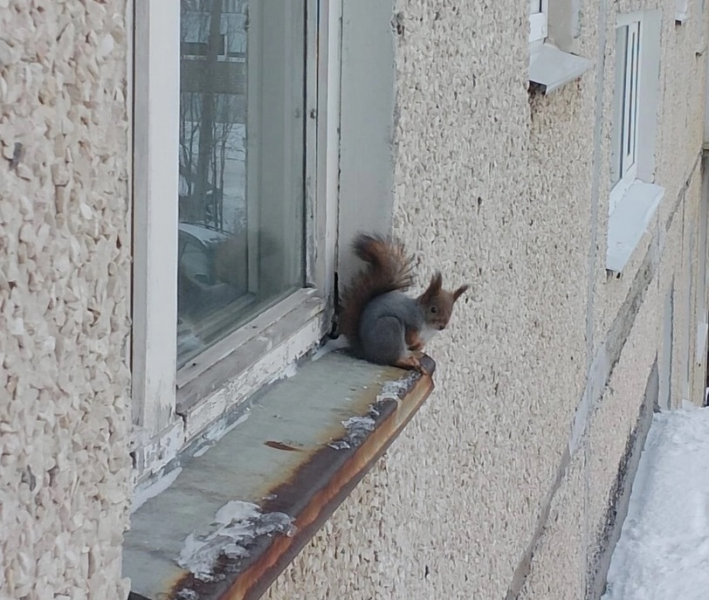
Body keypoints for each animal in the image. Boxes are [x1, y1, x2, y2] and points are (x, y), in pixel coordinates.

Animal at [339, 233, 469, 374]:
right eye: (433, 309)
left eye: (451, 311)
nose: (442, 326)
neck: (427, 325)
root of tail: (368, 353)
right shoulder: (412, 320)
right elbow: (409, 337)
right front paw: (415, 342)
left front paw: (419, 345)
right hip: (390, 329)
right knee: (393, 359)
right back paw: (407, 362)